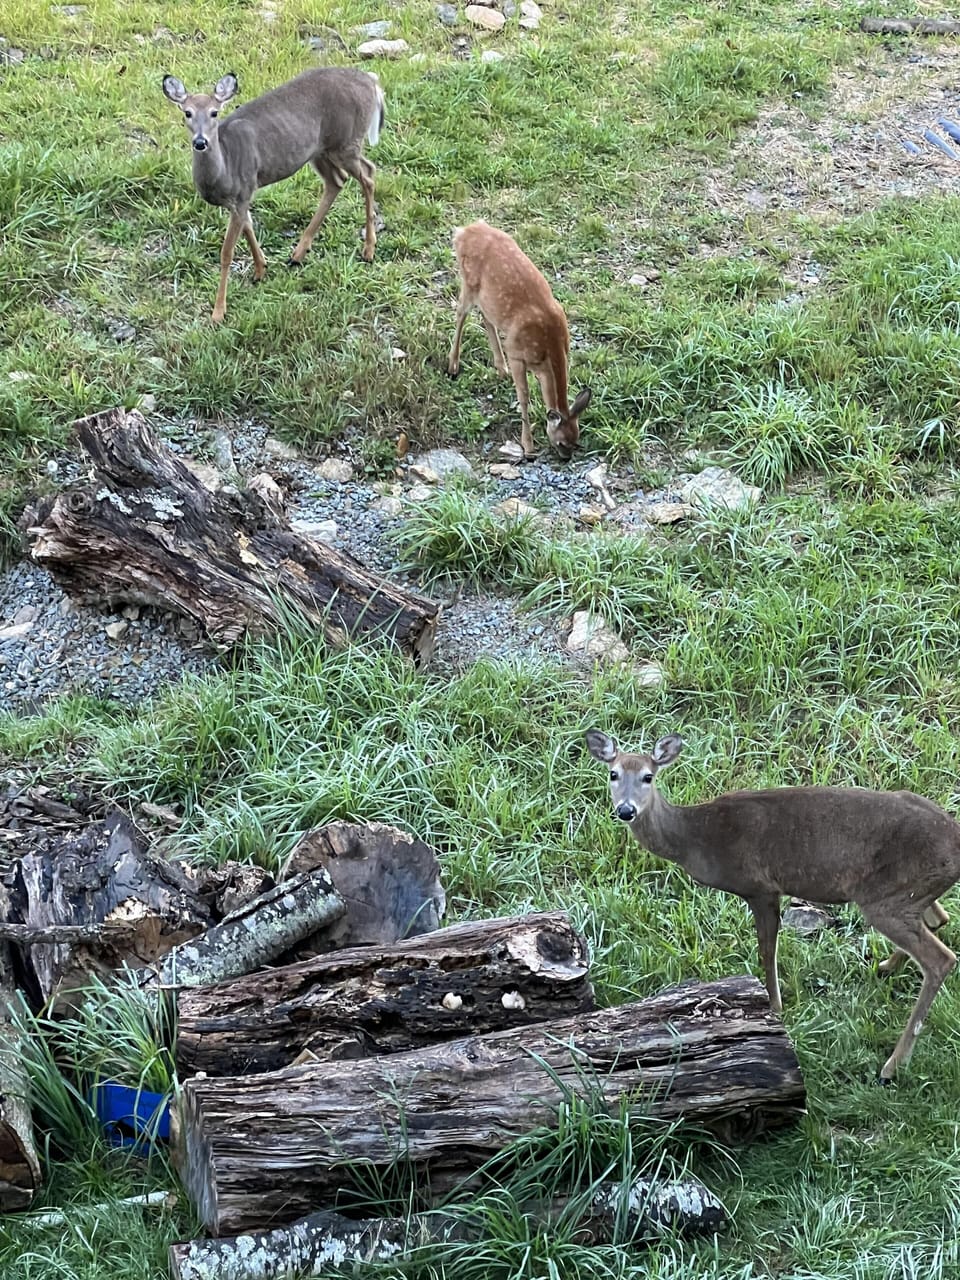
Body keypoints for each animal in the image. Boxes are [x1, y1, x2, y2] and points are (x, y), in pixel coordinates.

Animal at [162, 68, 385, 323]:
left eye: (214, 112)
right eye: (187, 112)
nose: (200, 142)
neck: (225, 169)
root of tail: (372, 82)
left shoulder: (243, 190)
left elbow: (227, 252)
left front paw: (218, 312)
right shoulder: (241, 198)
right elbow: (249, 227)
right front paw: (261, 269)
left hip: (346, 142)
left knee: (368, 174)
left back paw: (368, 250)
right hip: (320, 151)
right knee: (338, 180)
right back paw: (298, 253)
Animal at [447, 221, 591, 461]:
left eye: (576, 440)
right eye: (561, 442)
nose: (566, 458)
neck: (549, 346)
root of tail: (463, 231)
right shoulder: (516, 353)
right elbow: (524, 396)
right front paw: (528, 447)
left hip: (488, 298)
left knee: (486, 318)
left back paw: (500, 369)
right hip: (468, 282)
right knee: (460, 313)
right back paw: (453, 367)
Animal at [585, 729, 960, 1082]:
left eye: (648, 776)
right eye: (613, 773)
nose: (626, 810)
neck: (696, 838)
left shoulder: (760, 887)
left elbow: (767, 950)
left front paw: (775, 1010)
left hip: (887, 897)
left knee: (941, 958)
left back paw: (891, 1067)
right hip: (905, 893)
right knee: (939, 918)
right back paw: (884, 967)